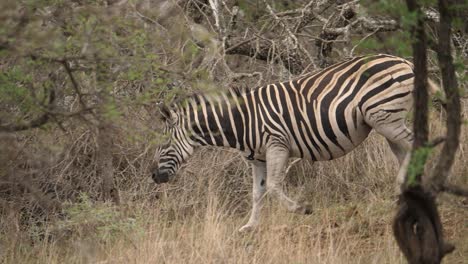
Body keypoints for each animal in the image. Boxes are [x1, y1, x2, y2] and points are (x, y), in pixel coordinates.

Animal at [152, 54, 440, 232]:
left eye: (163, 145)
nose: (154, 177)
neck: (241, 122)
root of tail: (403, 60)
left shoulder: (277, 145)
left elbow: (273, 187)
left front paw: (302, 209)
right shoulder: (256, 158)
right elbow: (257, 192)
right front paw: (249, 227)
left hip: (384, 117)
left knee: (417, 146)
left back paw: (413, 186)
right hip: (385, 121)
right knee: (405, 152)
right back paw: (403, 192)